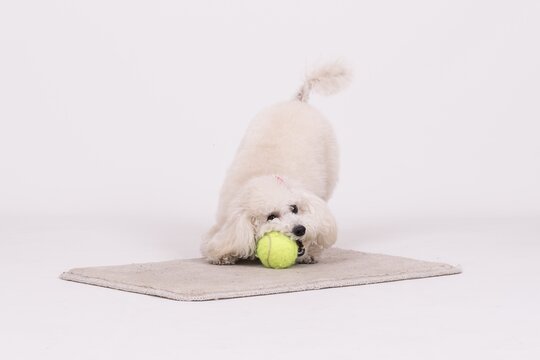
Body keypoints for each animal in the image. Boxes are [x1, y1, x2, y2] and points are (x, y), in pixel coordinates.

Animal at [201, 62, 350, 264]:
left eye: (294, 208)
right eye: (271, 216)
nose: (300, 229)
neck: (264, 174)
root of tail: (298, 101)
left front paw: (310, 253)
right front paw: (224, 256)